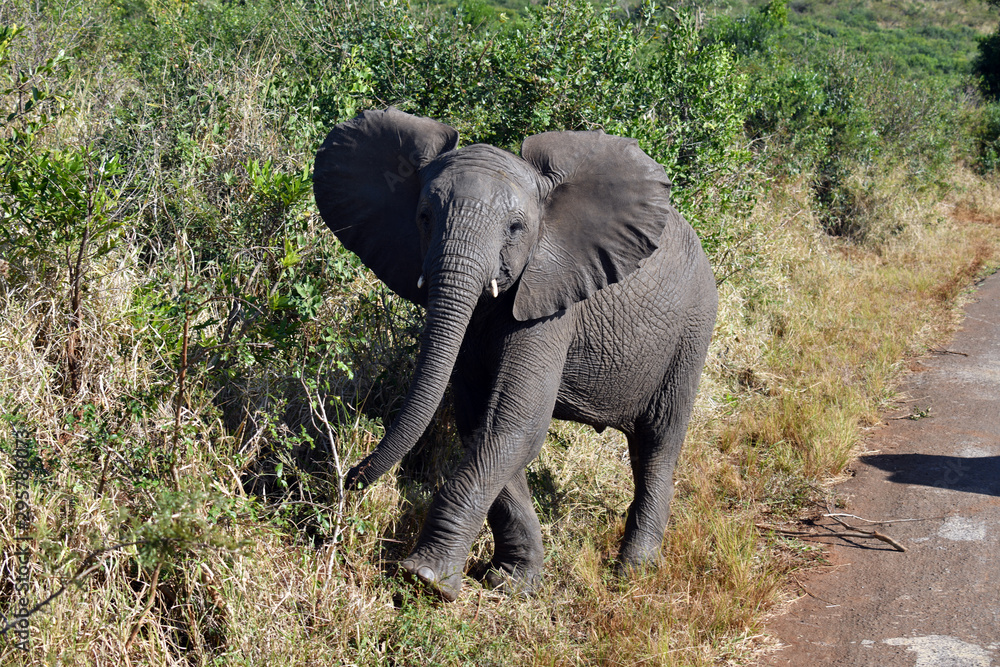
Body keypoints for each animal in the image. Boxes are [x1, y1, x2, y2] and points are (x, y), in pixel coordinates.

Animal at [314, 108, 720, 600]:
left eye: (515, 229)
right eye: (424, 217)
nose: (349, 476)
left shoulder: (552, 299)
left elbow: (515, 422)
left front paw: (426, 580)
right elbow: (481, 423)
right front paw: (512, 583)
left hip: (692, 332)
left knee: (659, 442)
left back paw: (632, 573)